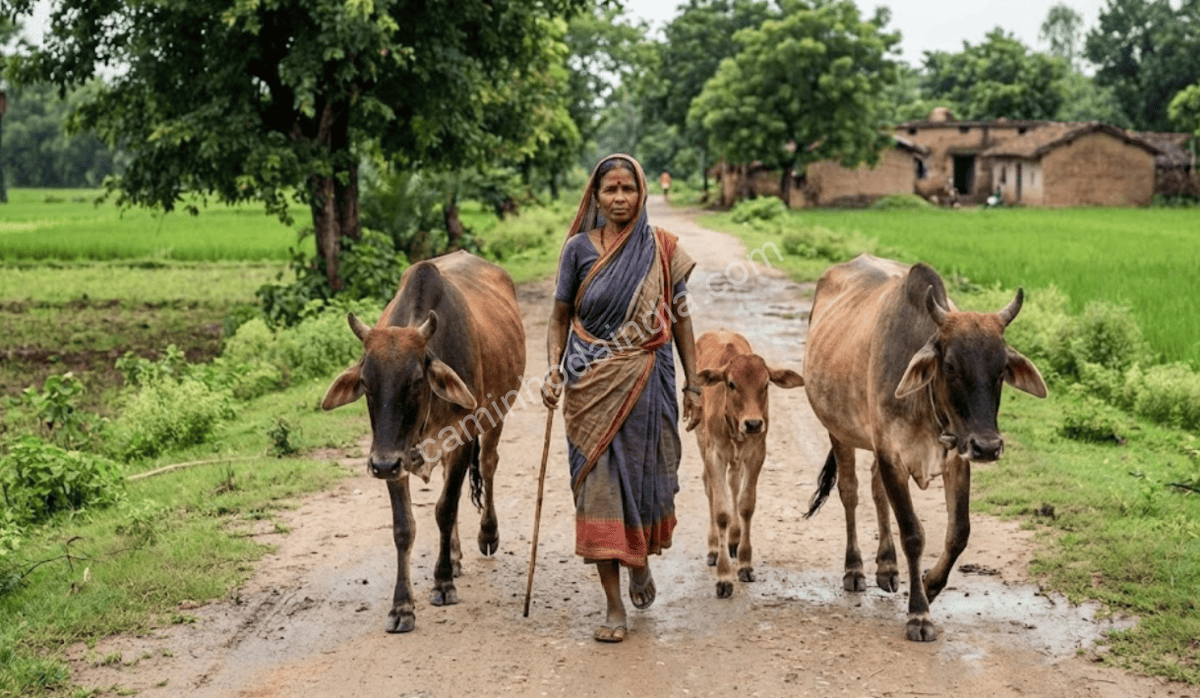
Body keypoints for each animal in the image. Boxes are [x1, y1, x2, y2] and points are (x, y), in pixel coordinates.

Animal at [321, 250, 526, 634]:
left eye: (416, 381)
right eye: (366, 382)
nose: (381, 464)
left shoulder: (462, 438)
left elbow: (445, 509)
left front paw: (443, 583)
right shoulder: (392, 455)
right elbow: (404, 527)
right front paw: (402, 606)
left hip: (496, 415)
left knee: (488, 465)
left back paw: (486, 536)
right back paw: (456, 556)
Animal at [692, 330, 804, 598]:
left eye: (766, 384)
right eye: (731, 384)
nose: (753, 423)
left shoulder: (756, 454)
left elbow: (745, 505)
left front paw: (744, 564)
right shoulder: (714, 454)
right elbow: (721, 511)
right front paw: (723, 577)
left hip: (737, 459)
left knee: (734, 483)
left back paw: (733, 539)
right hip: (702, 442)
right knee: (709, 489)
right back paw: (714, 547)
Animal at [802, 254, 1046, 642]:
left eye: (1002, 368)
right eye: (949, 366)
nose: (988, 446)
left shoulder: (956, 458)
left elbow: (959, 532)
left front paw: (930, 584)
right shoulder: (891, 454)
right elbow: (913, 533)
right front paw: (919, 614)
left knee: (876, 490)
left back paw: (887, 567)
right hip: (838, 431)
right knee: (850, 493)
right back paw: (854, 569)